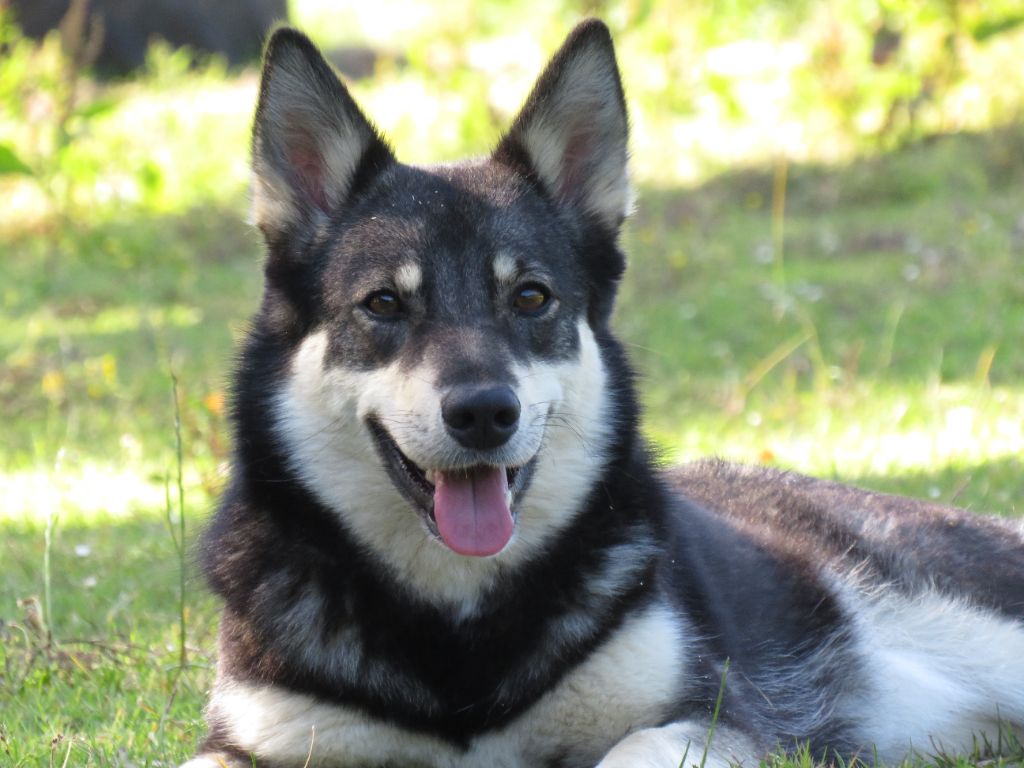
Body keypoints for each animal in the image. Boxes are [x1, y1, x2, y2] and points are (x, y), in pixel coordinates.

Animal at [184, 19, 1024, 768]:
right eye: (384, 304)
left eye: (530, 298)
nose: (485, 414)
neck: (457, 634)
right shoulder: (248, 740)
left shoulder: (707, 719)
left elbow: (632, 749)